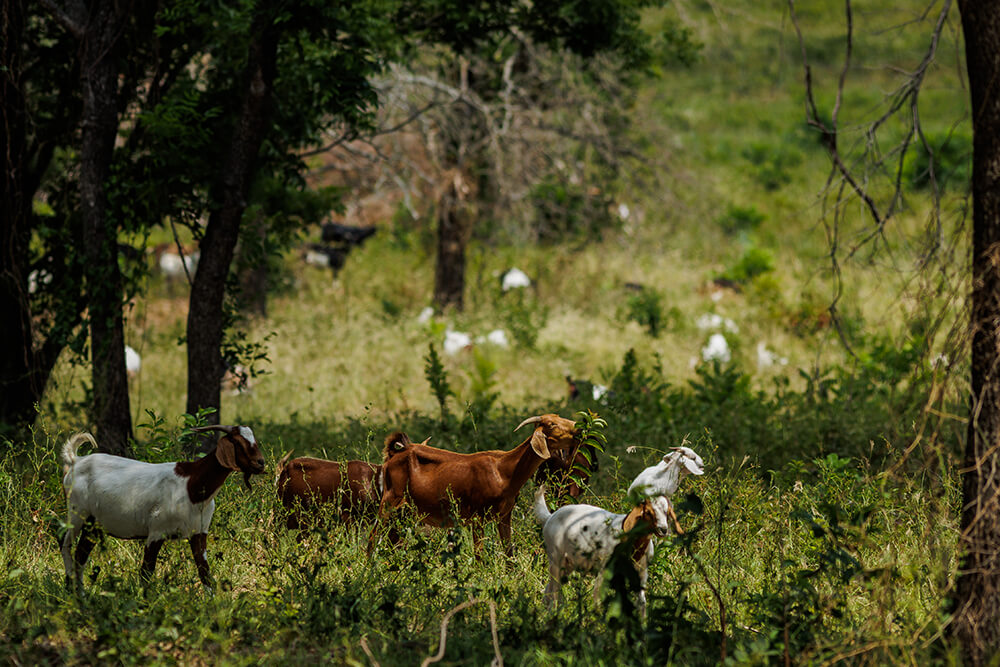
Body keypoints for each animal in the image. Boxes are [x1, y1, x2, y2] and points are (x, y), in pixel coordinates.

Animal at [60, 425, 266, 591]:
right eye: (238, 442)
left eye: (254, 441)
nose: (261, 463)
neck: (192, 485)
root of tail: (76, 460)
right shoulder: (156, 532)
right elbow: (146, 572)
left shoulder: (199, 532)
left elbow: (205, 574)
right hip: (77, 512)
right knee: (65, 543)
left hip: (94, 525)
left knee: (80, 555)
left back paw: (81, 594)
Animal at [372, 414, 580, 555]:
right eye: (552, 424)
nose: (578, 428)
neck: (505, 471)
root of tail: (394, 454)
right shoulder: (477, 516)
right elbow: (479, 553)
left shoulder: (504, 515)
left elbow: (509, 550)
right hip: (390, 501)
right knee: (373, 536)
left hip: (405, 512)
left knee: (392, 539)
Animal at [533, 484, 681, 618]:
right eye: (649, 512)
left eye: (667, 512)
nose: (663, 529)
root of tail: (549, 517)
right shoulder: (605, 569)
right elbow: (598, 596)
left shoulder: (641, 572)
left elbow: (641, 602)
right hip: (555, 557)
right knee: (554, 588)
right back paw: (553, 613)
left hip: (568, 564)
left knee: (550, 587)